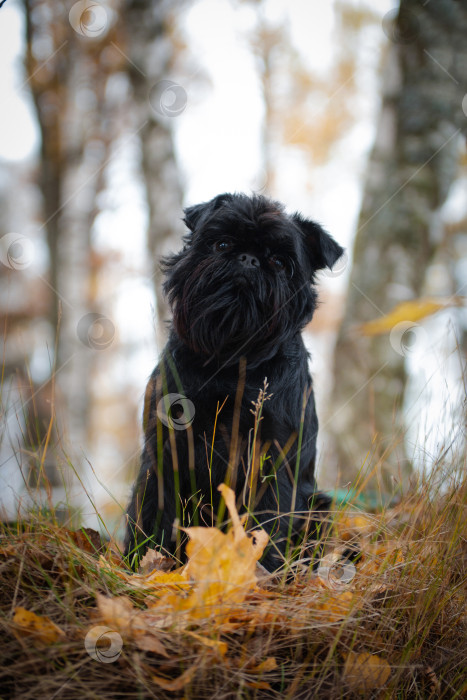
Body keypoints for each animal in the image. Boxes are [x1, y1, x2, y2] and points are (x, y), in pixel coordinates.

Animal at [124, 191, 344, 568]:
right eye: (222, 243)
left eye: (280, 262)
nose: (248, 259)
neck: (230, 360)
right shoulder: (165, 449)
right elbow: (152, 510)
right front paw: (140, 565)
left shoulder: (272, 459)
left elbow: (267, 522)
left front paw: (261, 573)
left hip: (318, 505)